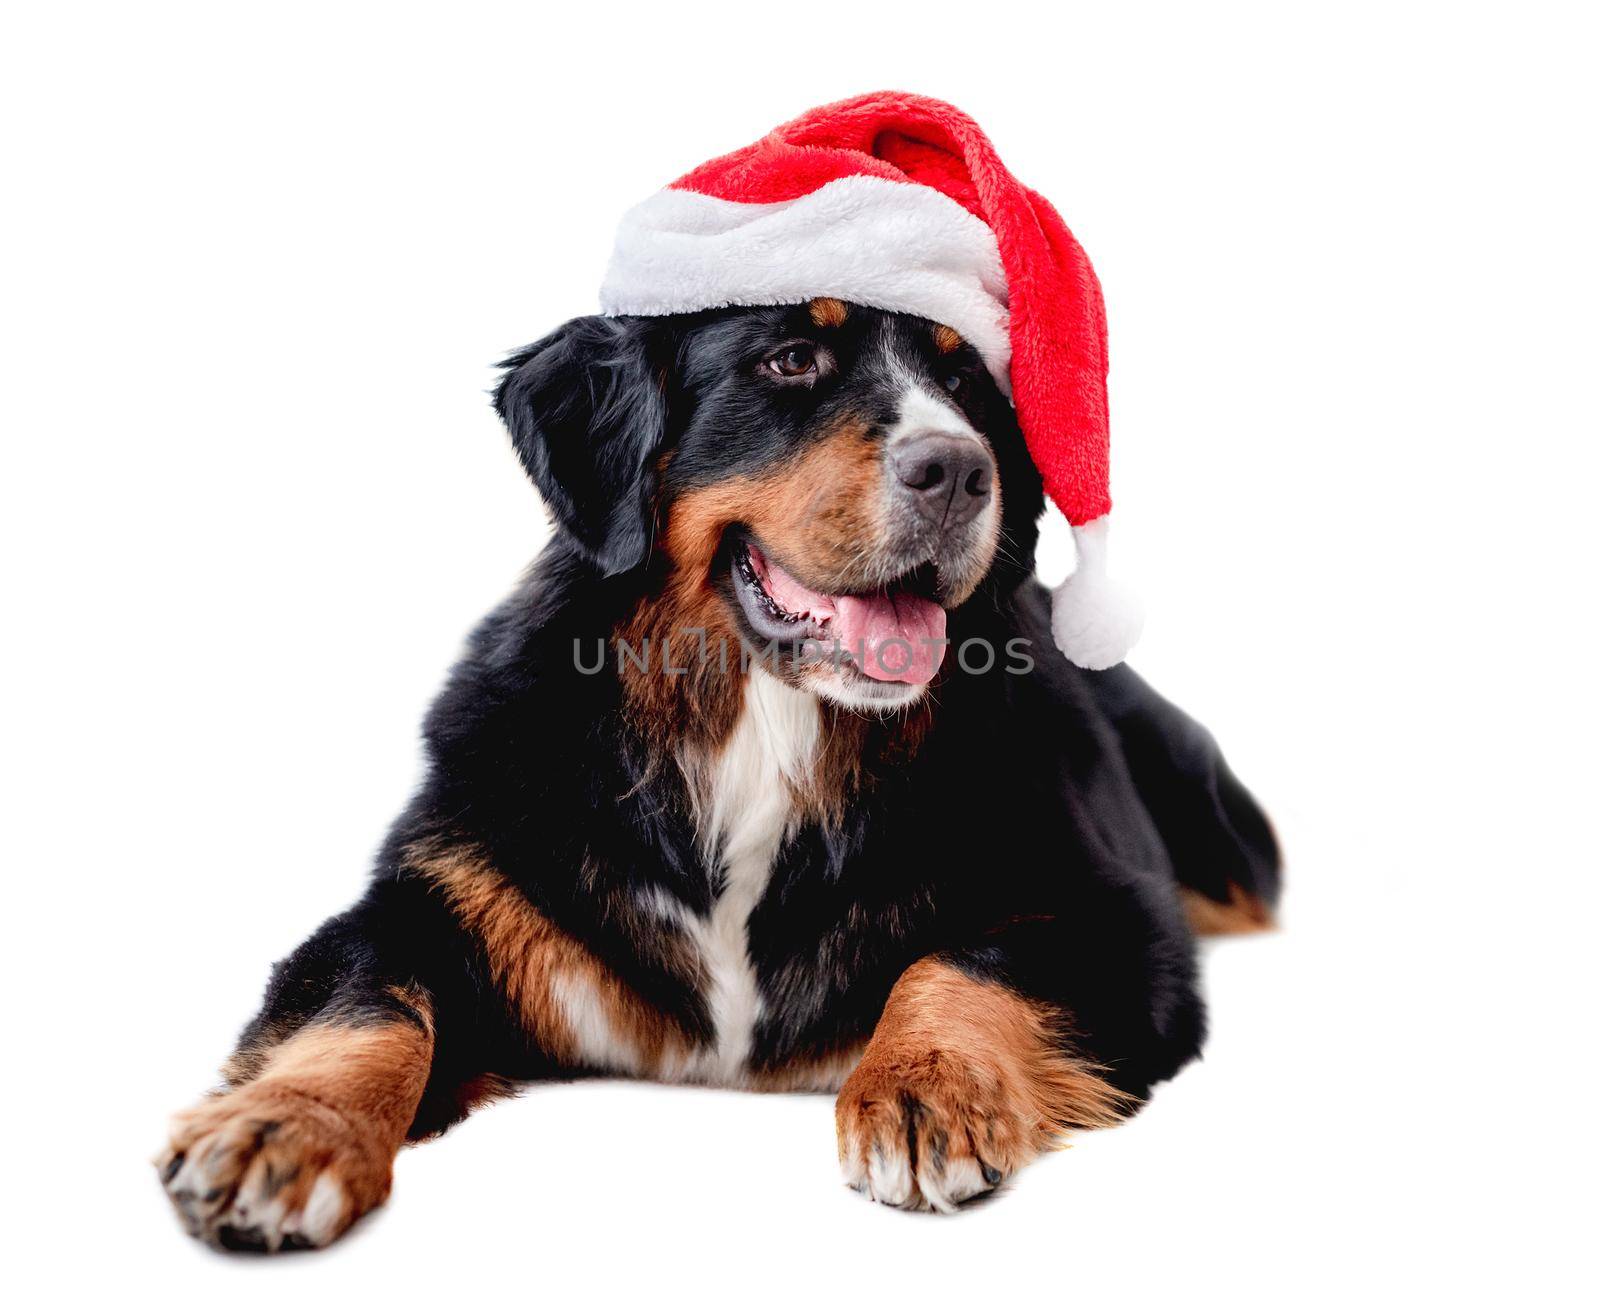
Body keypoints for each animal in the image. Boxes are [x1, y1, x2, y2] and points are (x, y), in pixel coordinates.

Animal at [150, 297, 1273, 1254]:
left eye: (970, 385)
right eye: (791, 359)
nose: (958, 470)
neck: (764, 727)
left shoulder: (1115, 914)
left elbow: (964, 961)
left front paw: (925, 1088)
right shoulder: (443, 890)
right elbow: (366, 1000)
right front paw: (282, 1131)